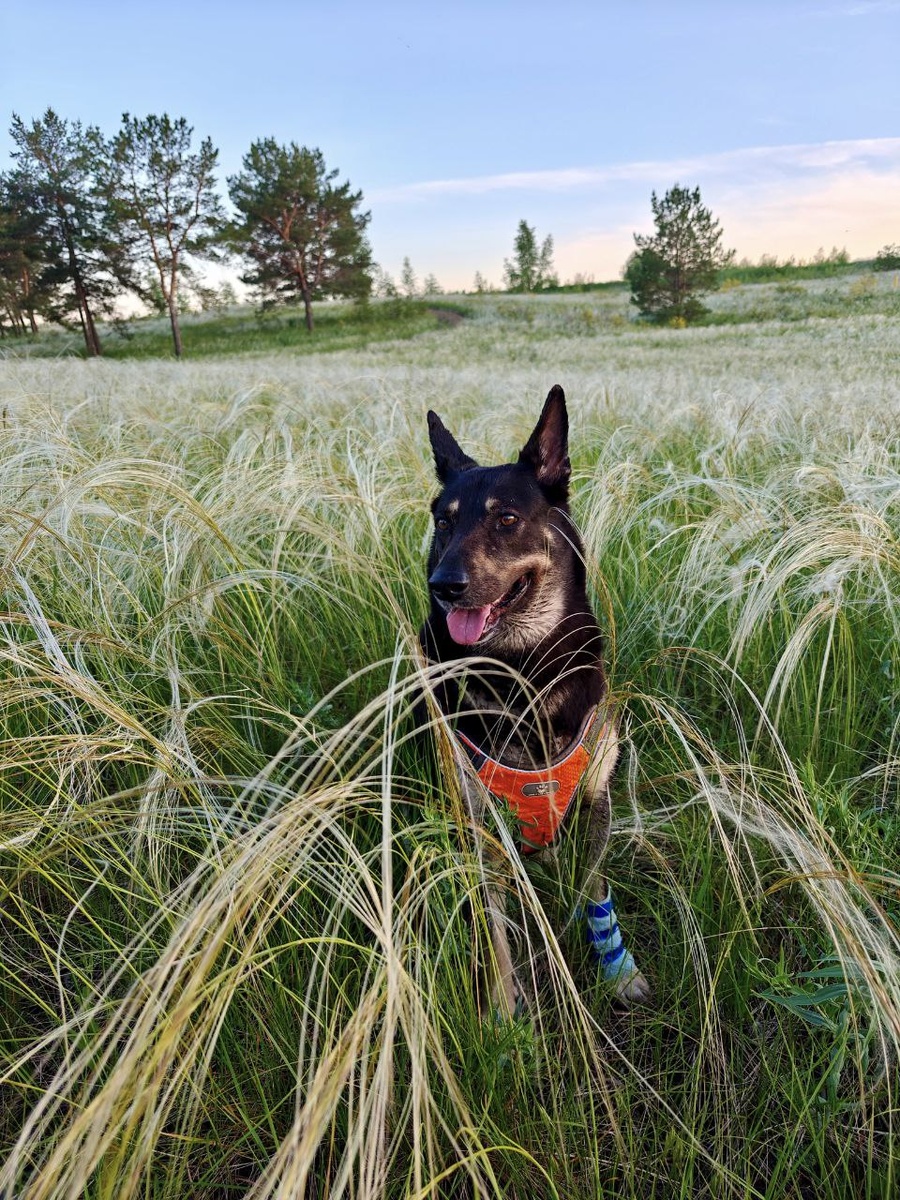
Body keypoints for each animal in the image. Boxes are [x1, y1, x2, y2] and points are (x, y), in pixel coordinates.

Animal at [420, 384, 650, 1017]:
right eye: (443, 521)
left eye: (506, 518)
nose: (444, 586)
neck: (524, 669)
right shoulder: (478, 823)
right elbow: (494, 918)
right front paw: (502, 1000)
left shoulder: (596, 800)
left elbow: (594, 888)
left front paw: (616, 966)